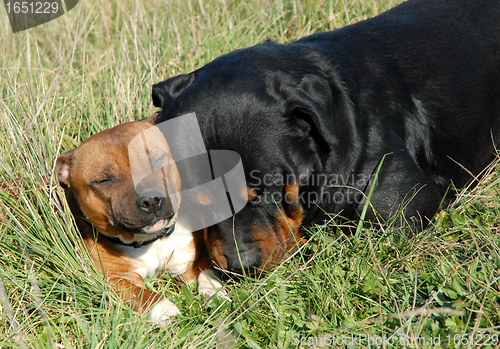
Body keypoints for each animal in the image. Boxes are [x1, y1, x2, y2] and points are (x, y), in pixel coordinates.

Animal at [54, 114, 223, 320]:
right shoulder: (116, 278)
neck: (152, 242)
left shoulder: (197, 256)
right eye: (104, 180)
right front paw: (165, 309)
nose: (151, 200)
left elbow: (207, 270)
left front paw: (214, 292)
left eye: (157, 159)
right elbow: (143, 295)